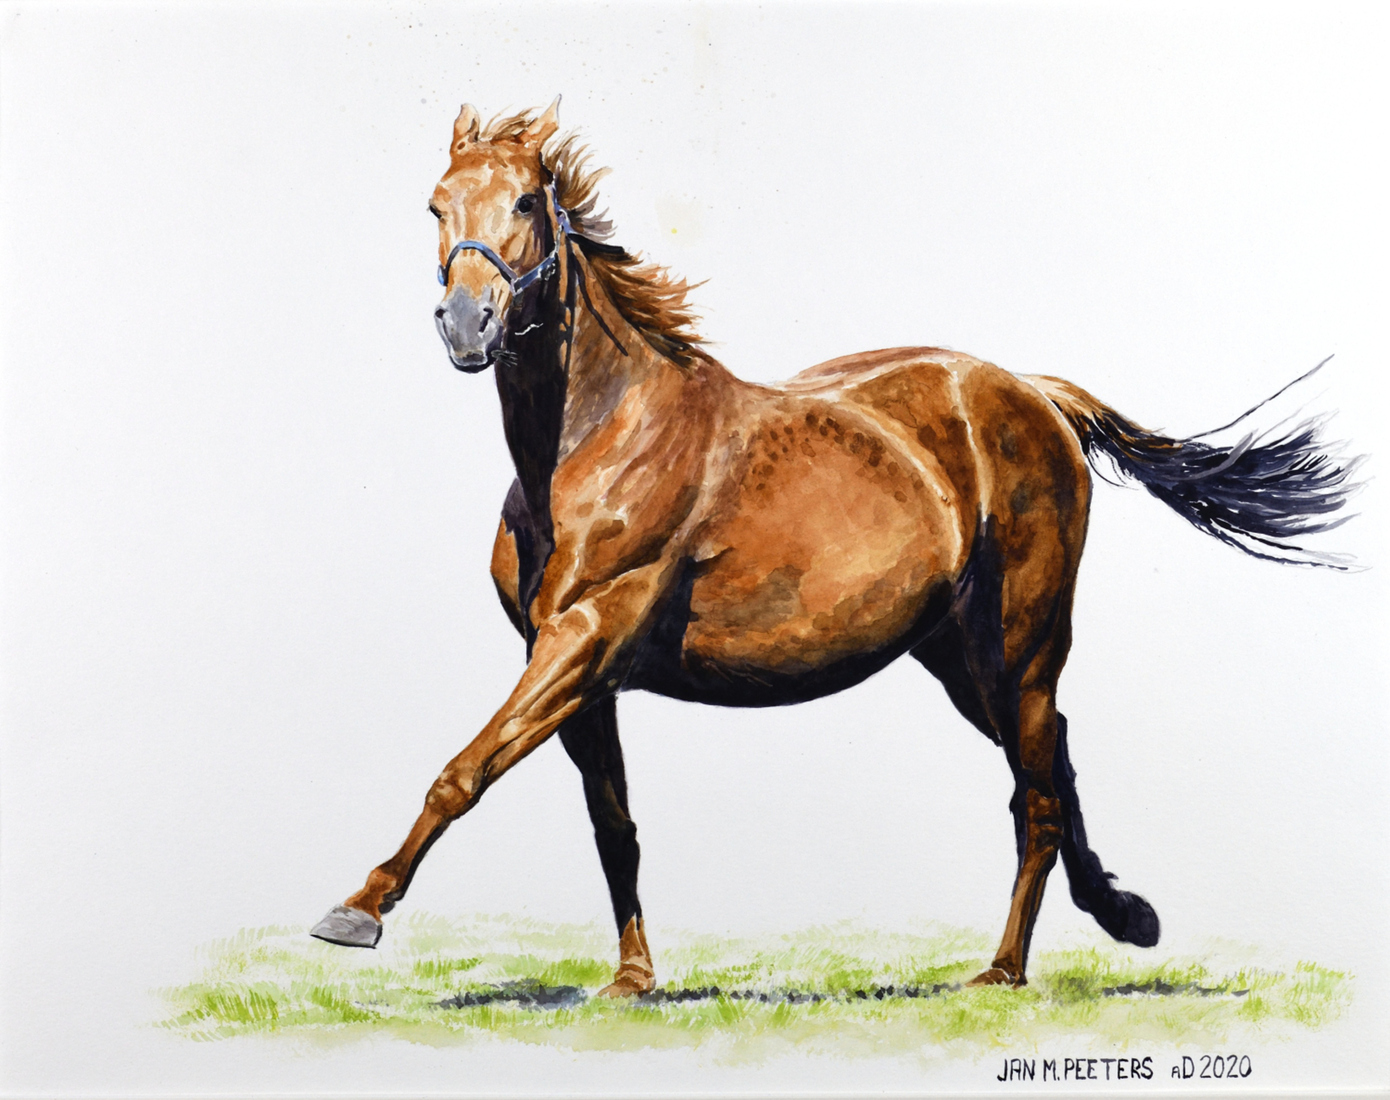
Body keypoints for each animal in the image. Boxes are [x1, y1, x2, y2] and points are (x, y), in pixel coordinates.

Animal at [310, 99, 1361, 995]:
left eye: (527, 201)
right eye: (436, 204)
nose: (466, 324)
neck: (595, 440)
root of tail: (1034, 391)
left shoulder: (586, 638)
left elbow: (464, 771)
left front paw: (356, 911)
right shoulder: (572, 666)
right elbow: (614, 823)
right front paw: (634, 980)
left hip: (1019, 646)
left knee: (1034, 797)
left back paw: (1003, 971)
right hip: (958, 659)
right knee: (1053, 763)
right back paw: (1123, 913)